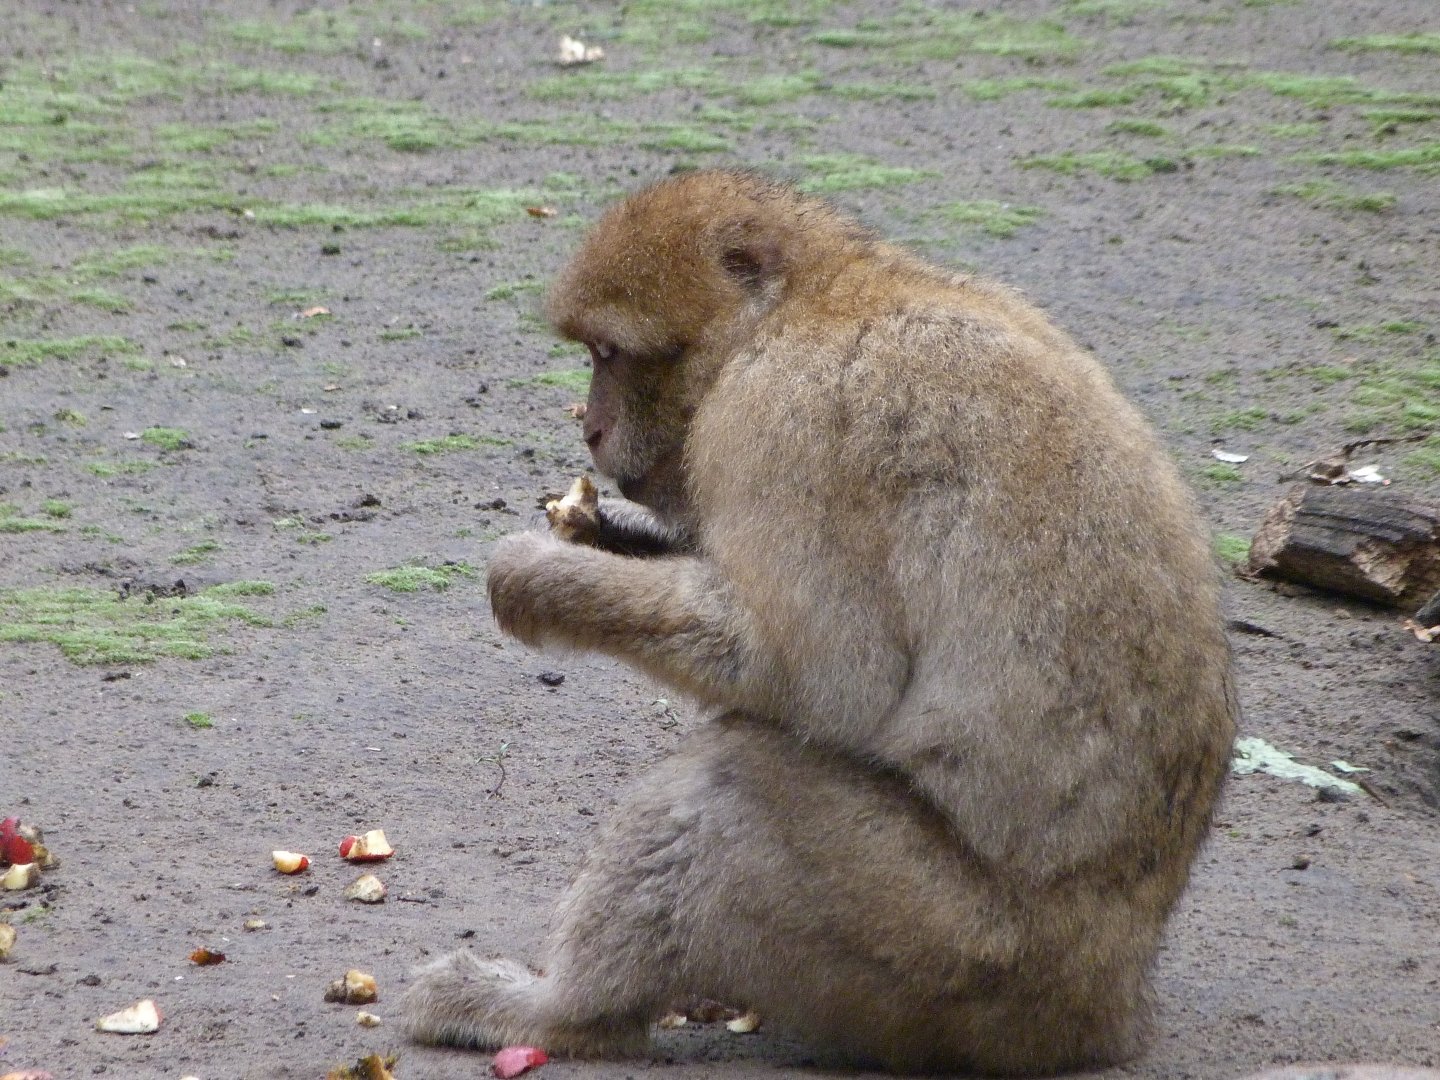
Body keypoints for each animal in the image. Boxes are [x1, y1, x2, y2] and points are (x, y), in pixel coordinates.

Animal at [401, 170, 1239, 1075]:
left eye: (609, 353)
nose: (590, 428)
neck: (810, 298)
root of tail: (1108, 1005)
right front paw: (603, 531)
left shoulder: (780, 419)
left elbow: (818, 676)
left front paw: (535, 576)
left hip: (948, 955)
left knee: (729, 787)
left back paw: (563, 1013)